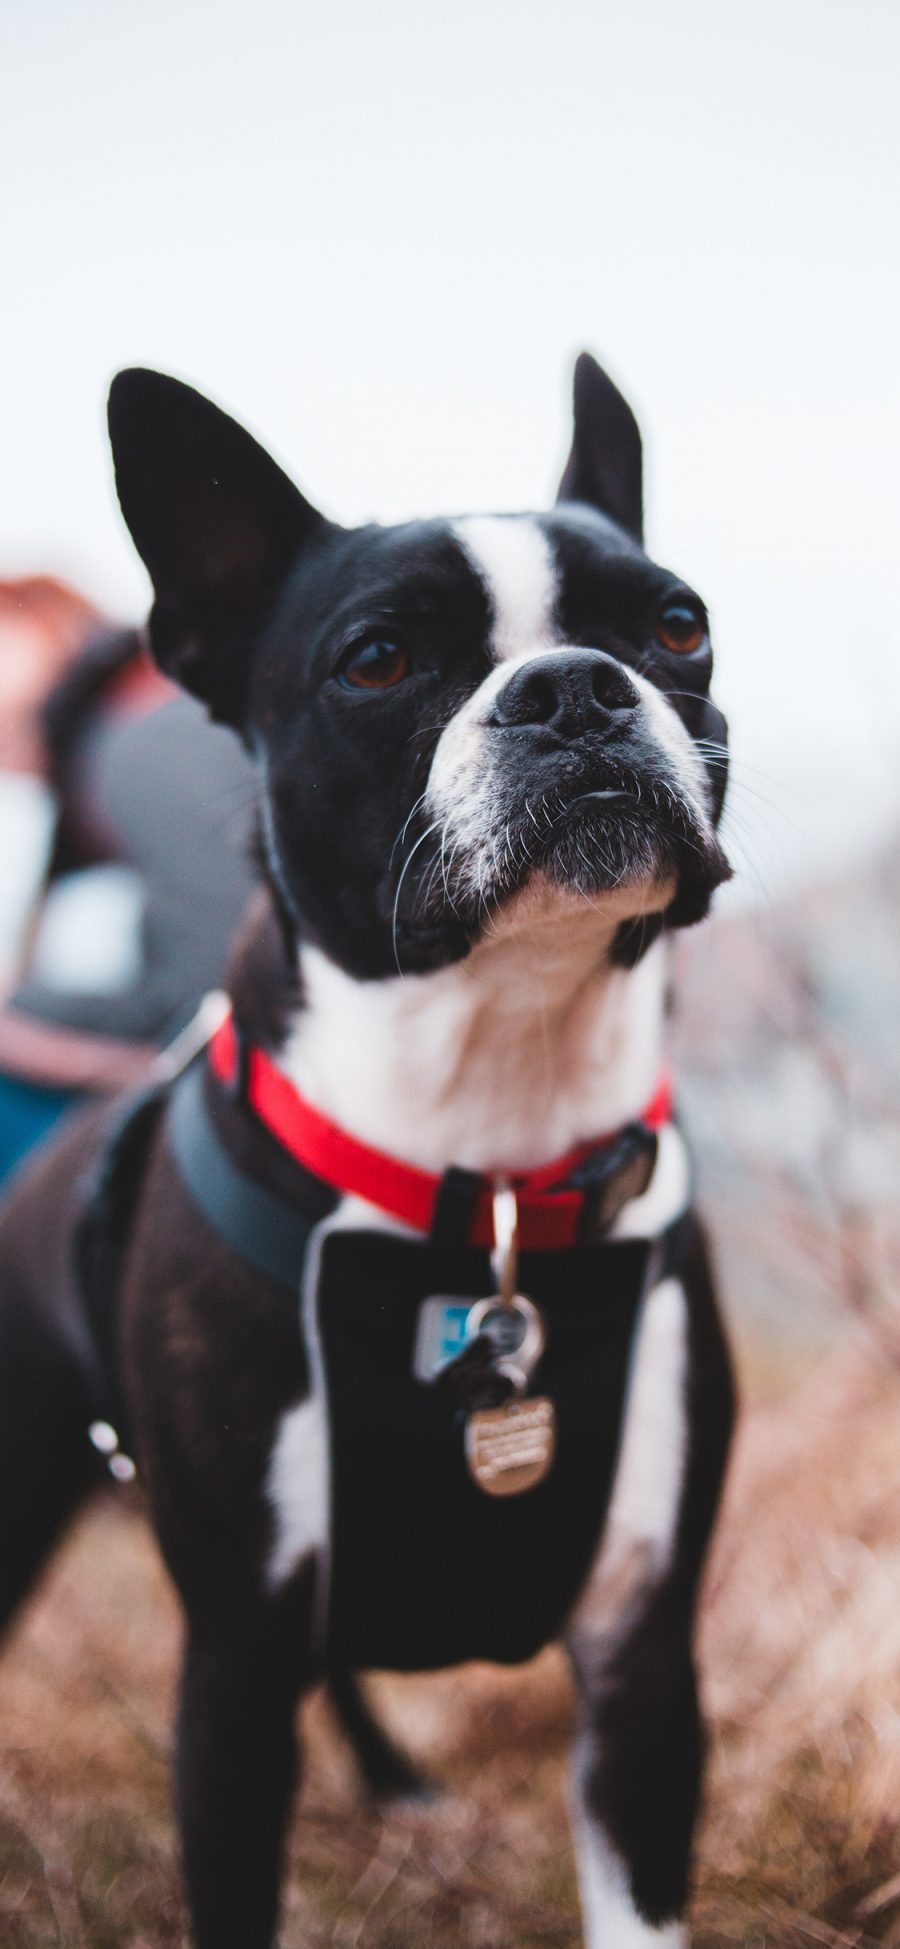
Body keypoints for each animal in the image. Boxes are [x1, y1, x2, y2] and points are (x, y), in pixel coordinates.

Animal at [0, 358, 736, 1941]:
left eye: (675, 624)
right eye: (379, 659)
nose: (574, 685)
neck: (493, 1169)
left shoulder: (645, 1667)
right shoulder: (229, 1668)